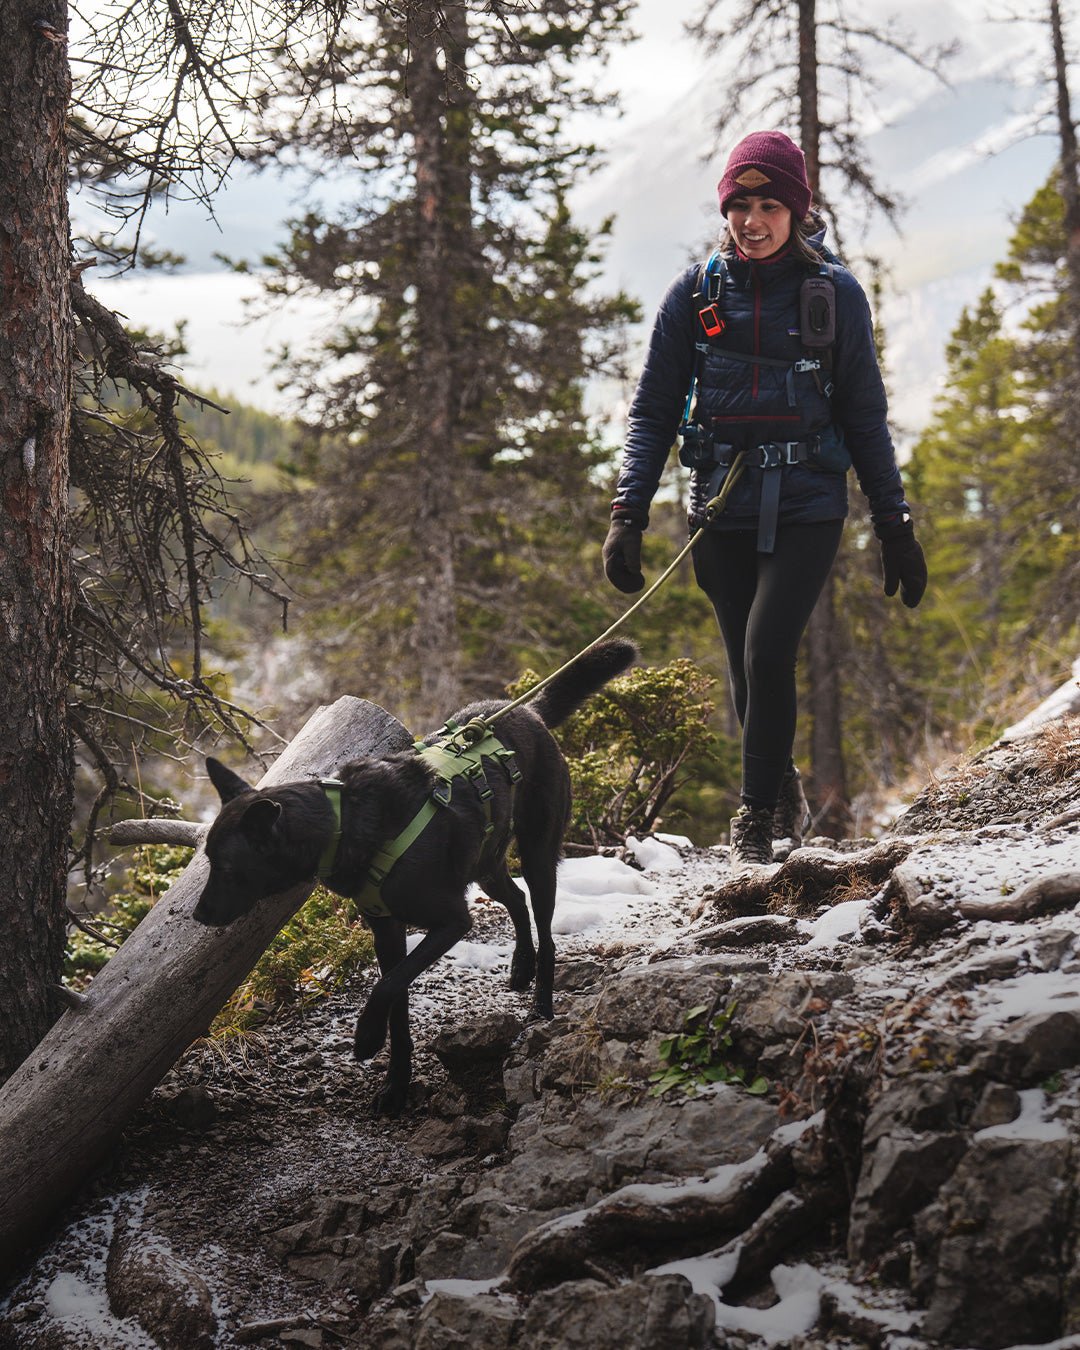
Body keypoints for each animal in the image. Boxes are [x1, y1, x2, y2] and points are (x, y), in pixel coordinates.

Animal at [193, 637, 637, 1112]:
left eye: (227, 867)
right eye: (208, 861)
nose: (198, 916)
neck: (345, 823)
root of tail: (527, 712)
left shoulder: (452, 922)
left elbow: (386, 987)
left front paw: (368, 1038)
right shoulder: (387, 932)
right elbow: (397, 1002)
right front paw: (396, 1085)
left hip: (537, 852)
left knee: (546, 927)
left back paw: (541, 1005)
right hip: (484, 864)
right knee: (516, 900)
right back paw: (521, 967)